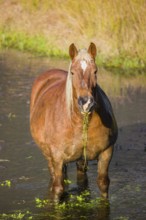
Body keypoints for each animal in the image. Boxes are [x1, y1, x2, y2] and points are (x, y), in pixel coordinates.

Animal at [30, 42, 118, 200]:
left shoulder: (106, 152)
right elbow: (58, 188)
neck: (78, 122)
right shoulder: (57, 157)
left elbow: (103, 183)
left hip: (81, 160)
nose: (86, 103)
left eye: (95, 71)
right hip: (49, 156)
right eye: (72, 73)